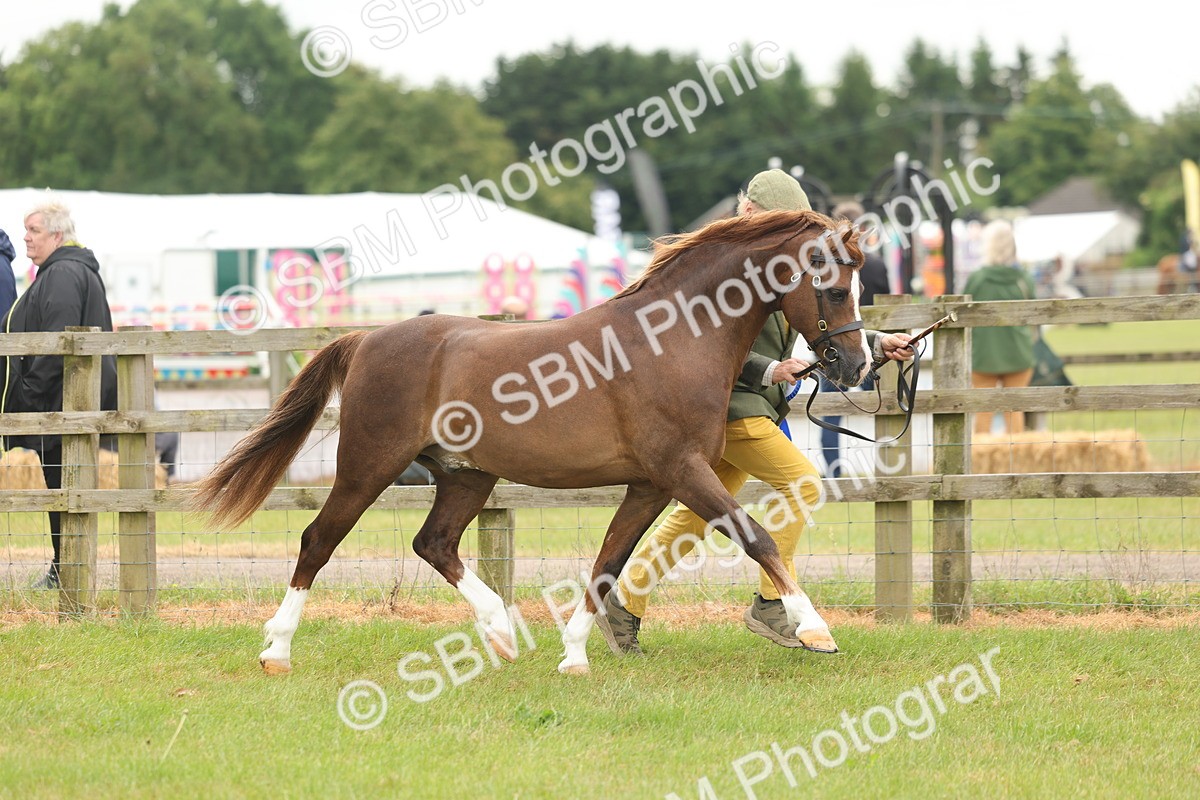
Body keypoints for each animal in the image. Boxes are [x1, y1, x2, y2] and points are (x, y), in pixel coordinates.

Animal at [192, 209, 871, 676]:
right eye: (835, 288)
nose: (856, 364)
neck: (672, 340)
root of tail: (365, 340)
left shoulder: (650, 485)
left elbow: (607, 565)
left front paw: (574, 656)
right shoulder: (682, 472)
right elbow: (756, 538)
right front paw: (816, 631)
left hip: (466, 475)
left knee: (434, 543)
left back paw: (499, 632)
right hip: (368, 467)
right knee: (318, 540)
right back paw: (277, 651)